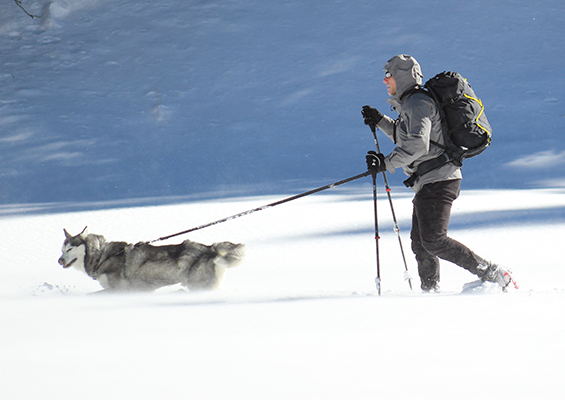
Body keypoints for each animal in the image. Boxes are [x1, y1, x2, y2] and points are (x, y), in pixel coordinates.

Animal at [59, 228, 245, 290]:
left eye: (70, 249)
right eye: (62, 250)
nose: (60, 260)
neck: (101, 256)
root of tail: (211, 248)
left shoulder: (119, 290)